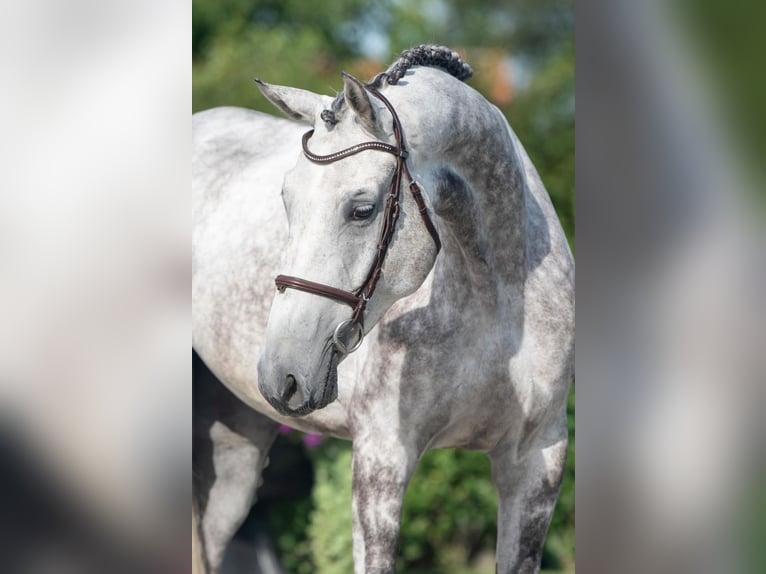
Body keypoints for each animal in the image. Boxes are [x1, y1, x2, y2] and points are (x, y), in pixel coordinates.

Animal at [194, 46, 576, 574]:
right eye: (286, 200)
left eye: (362, 209)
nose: (281, 376)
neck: (498, 301)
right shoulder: (383, 460)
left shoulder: (535, 464)